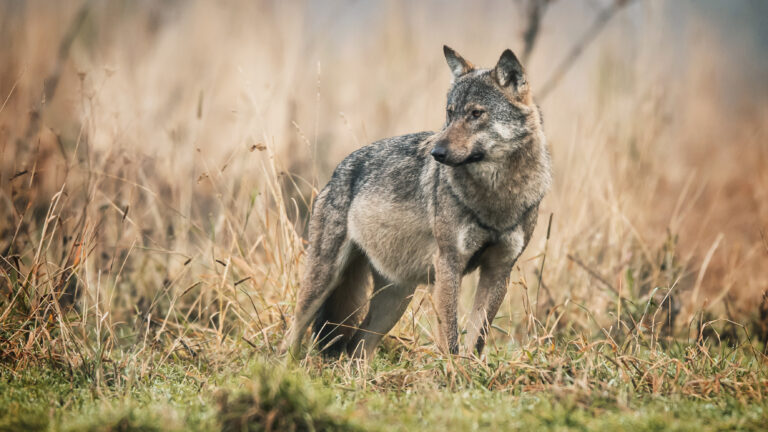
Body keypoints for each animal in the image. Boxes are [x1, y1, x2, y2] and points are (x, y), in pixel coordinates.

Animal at [281, 46, 552, 360]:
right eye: (450, 113)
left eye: (475, 113)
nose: (437, 152)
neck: (497, 196)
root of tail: (337, 171)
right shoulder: (449, 264)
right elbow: (450, 338)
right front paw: (452, 371)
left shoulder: (499, 269)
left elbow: (477, 339)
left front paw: (470, 368)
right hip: (324, 279)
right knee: (293, 334)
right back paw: (284, 365)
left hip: (395, 299)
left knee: (357, 346)